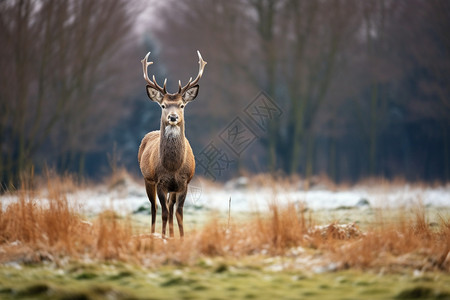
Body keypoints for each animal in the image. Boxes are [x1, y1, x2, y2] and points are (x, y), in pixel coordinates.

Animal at [138, 51, 207, 239]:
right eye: (163, 105)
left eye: (182, 105)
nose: (173, 117)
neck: (173, 167)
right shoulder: (160, 181)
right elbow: (163, 213)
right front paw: (163, 237)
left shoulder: (184, 183)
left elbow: (178, 213)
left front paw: (181, 238)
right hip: (147, 179)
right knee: (154, 208)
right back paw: (154, 234)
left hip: (172, 189)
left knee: (170, 207)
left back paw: (171, 234)